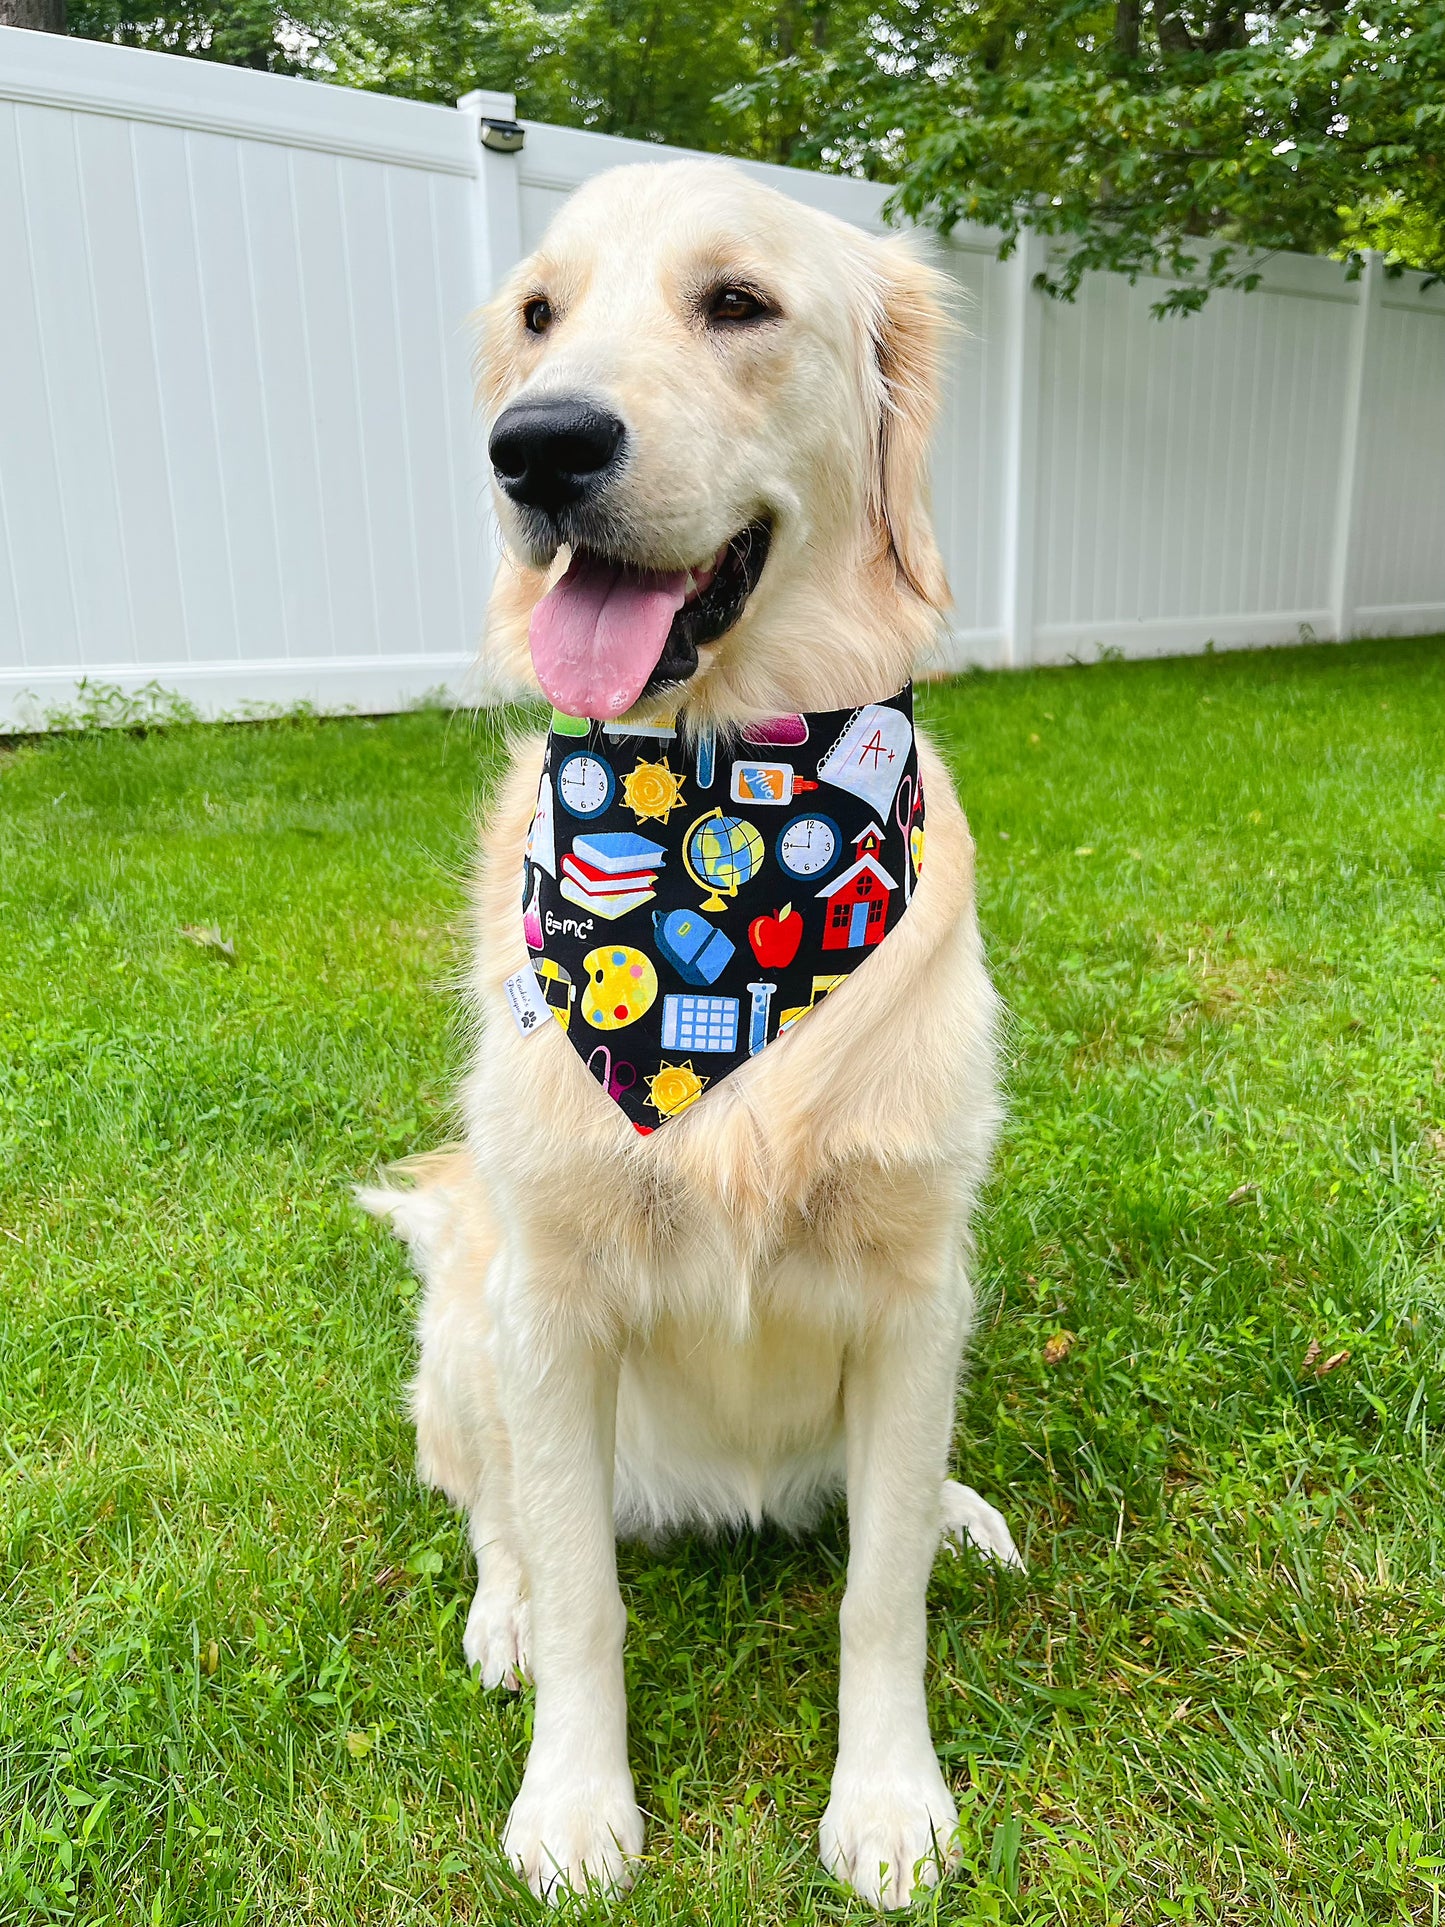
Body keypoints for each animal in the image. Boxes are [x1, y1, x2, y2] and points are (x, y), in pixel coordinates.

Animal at [362, 158, 1024, 1903]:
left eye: (737, 303)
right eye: (538, 314)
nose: (538, 445)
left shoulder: (916, 1284)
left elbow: (878, 1593)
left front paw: (887, 1798)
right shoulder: (552, 1297)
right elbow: (586, 1586)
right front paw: (575, 1801)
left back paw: (955, 1505)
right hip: (471, 1323)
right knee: (497, 1515)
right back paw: (504, 1613)